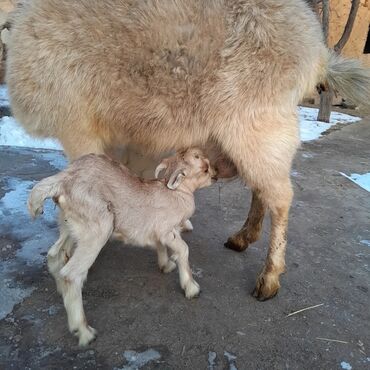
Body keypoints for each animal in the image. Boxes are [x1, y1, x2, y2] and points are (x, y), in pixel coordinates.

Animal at [27, 148, 215, 346]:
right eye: (205, 169)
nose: (215, 176)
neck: (176, 193)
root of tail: (63, 180)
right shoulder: (166, 230)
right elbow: (183, 249)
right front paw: (192, 288)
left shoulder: (158, 231)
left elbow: (161, 246)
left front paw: (165, 265)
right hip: (98, 228)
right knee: (71, 274)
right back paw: (84, 331)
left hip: (70, 226)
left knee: (54, 255)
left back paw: (61, 292)